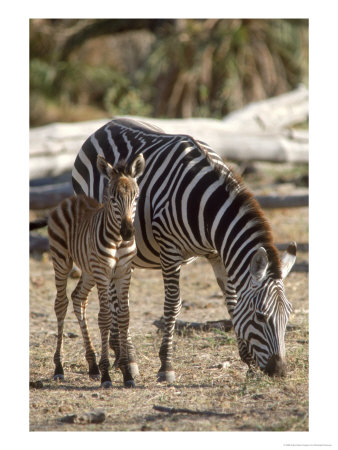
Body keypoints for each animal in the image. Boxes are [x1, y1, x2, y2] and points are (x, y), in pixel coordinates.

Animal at [48, 155, 145, 386]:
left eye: (136, 197)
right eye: (113, 198)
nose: (128, 232)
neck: (118, 241)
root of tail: (70, 199)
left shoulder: (124, 272)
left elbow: (124, 316)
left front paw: (127, 374)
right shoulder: (103, 272)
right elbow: (105, 317)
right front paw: (107, 374)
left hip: (89, 270)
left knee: (78, 298)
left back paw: (92, 366)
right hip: (61, 261)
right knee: (61, 304)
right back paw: (59, 367)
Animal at [72, 117, 296, 384]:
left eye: (288, 316)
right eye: (261, 316)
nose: (280, 371)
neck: (208, 210)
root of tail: (105, 125)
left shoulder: (218, 253)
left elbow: (232, 301)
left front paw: (248, 361)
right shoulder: (170, 250)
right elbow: (172, 304)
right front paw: (166, 366)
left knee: (118, 298)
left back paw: (120, 355)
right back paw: (129, 359)